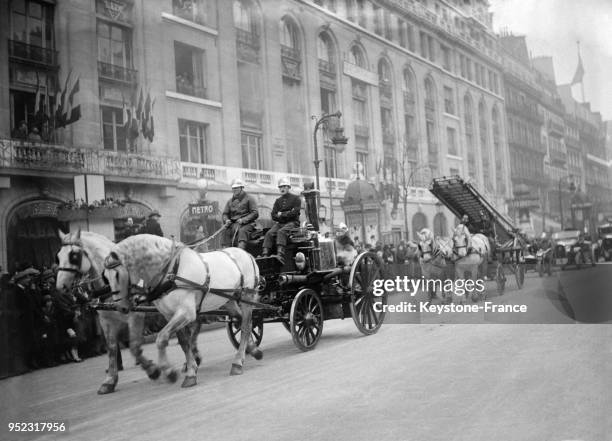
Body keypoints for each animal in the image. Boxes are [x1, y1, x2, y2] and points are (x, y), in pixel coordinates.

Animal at [54, 229, 161, 394]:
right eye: (58, 256)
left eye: (74, 256)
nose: (60, 287)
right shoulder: (106, 320)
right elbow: (111, 348)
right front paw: (110, 380)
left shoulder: (135, 315)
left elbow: (134, 345)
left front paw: (151, 369)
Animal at [103, 232, 260, 386]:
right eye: (105, 277)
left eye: (117, 275)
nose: (121, 307)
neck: (171, 271)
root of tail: (246, 254)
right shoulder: (169, 314)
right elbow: (184, 342)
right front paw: (191, 371)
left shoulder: (186, 313)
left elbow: (162, 338)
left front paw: (169, 371)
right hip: (229, 300)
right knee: (243, 321)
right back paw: (253, 349)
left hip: (247, 297)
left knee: (246, 327)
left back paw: (238, 362)